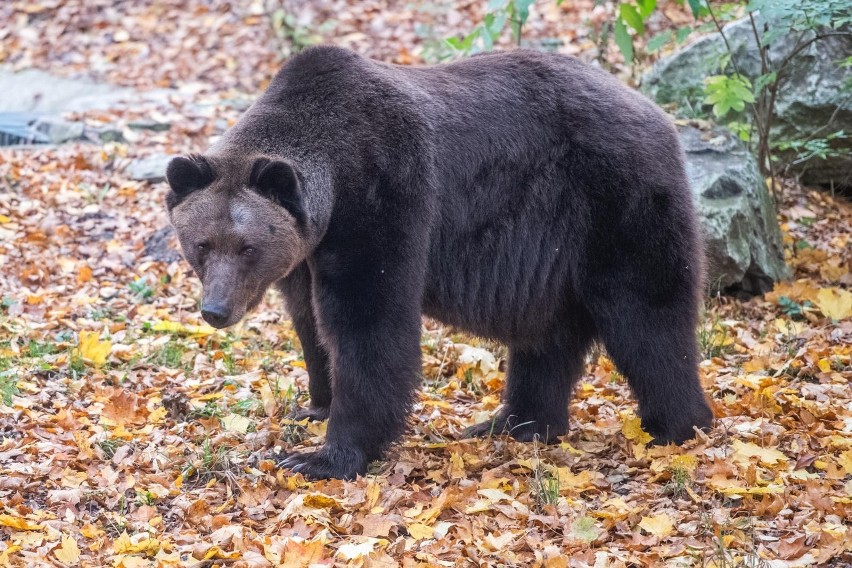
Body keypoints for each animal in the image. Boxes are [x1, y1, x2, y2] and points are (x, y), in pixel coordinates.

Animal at [165, 46, 712, 480]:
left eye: (246, 247)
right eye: (201, 245)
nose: (216, 310)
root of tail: (658, 114)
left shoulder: (384, 197)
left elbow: (369, 323)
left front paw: (323, 456)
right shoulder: (306, 252)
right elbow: (309, 321)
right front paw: (315, 405)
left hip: (615, 200)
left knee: (647, 315)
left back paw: (675, 426)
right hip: (554, 251)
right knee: (547, 336)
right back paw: (514, 422)